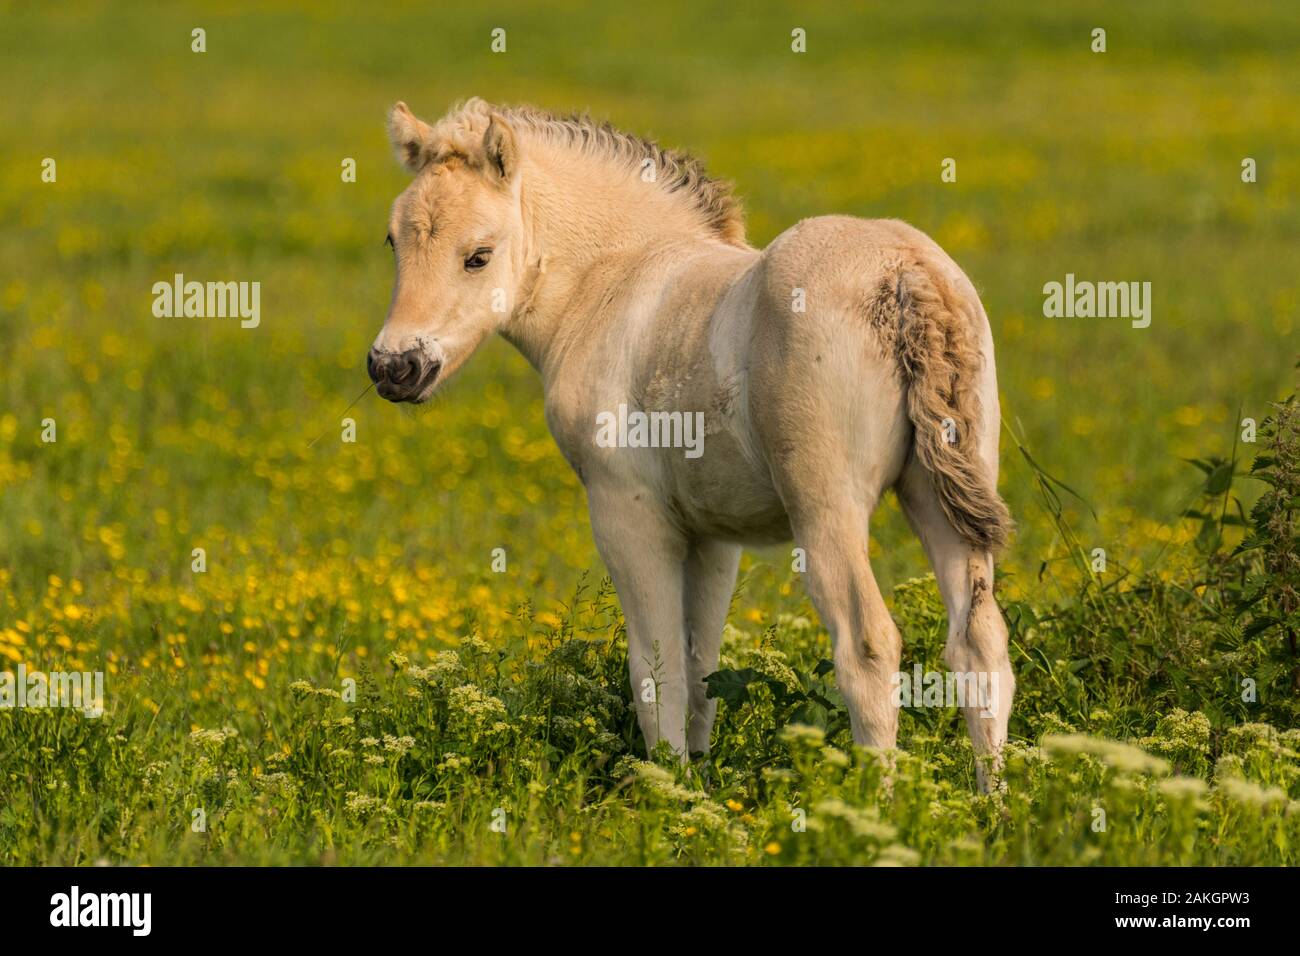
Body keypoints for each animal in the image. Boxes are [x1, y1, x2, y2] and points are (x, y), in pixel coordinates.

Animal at [366, 97, 1013, 790]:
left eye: (479, 255)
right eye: (394, 240)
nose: (395, 367)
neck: (610, 281)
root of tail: (905, 274)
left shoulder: (627, 512)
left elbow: (658, 670)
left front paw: (665, 790)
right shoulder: (713, 533)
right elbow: (703, 665)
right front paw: (698, 781)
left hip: (827, 510)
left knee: (868, 647)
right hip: (941, 499)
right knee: (979, 645)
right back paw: (992, 803)